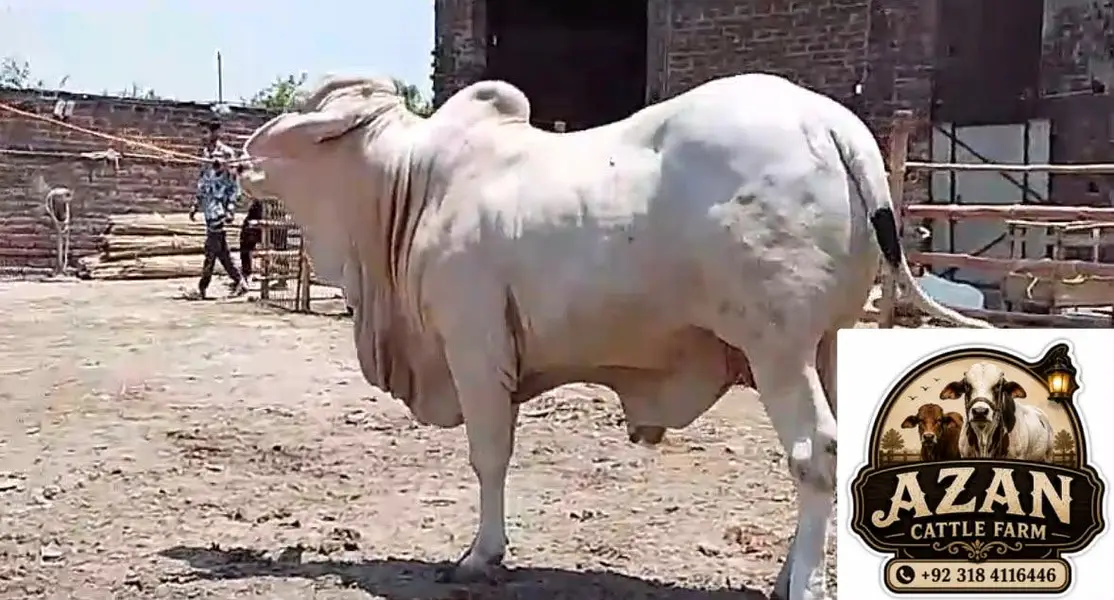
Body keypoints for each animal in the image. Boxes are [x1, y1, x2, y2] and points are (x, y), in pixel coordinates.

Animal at [240, 73, 991, 600]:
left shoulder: (475, 346)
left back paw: (800, 586)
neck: (412, 188)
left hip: (777, 347)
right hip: (827, 342)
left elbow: (490, 457)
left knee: (816, 453)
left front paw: (481, 556)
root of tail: (832, 122)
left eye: (307, 120)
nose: (242, 156)